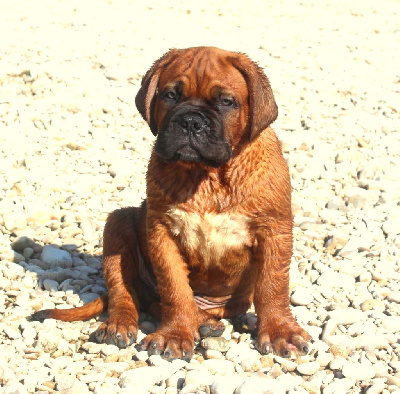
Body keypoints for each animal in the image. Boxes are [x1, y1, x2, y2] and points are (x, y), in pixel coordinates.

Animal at [32, 46, 310, 360]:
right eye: (170, 95)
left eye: (226, 102)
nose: (191, 122)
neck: (207, 175)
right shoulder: (161, 232)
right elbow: (175, 288)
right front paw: (174, 334)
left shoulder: (274, 229)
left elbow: (272, 285)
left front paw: (279, 330)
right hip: (118, 223)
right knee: (125, 292)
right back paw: (122, 325)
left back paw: (209, 323)